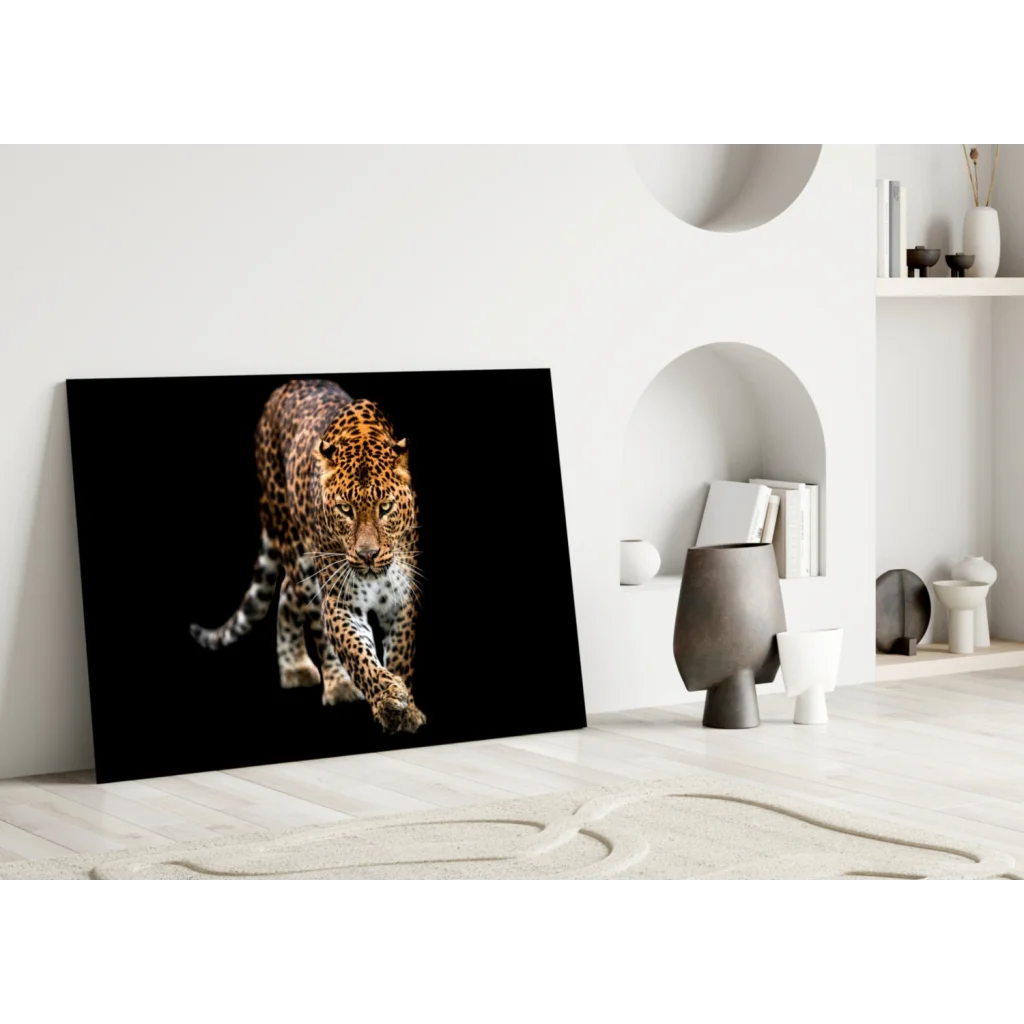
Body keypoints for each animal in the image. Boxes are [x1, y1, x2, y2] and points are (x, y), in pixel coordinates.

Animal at [189, 378, 426, 736]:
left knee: (287, 591)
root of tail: (290, 383)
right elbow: (358, 654)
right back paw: (336, 685)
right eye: (345, 510)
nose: (368, 555)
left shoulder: (401, 599)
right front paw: (387, 699)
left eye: (385, 508)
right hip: (300, 555)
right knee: (308, 610)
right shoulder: (341, 601)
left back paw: (295, 667)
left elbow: (400, 654)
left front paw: (407, 709)